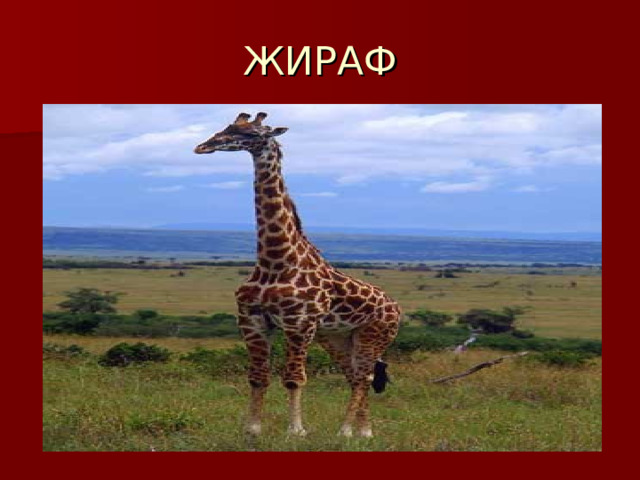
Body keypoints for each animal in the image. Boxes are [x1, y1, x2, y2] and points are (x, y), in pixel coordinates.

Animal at [194, 112, 401, 438]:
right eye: (227, 127)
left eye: (251, 134)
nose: (203, 146)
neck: (275, 260)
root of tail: (397, 307)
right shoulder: (252, 320)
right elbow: (257, 376)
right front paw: (252, 428)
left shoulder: (299, 324)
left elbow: (294, 378)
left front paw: (296, 430)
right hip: (338, 337)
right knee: (354, 375)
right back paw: (360, 432)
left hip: (375, 335)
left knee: (364, 377)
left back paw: (349, 431)